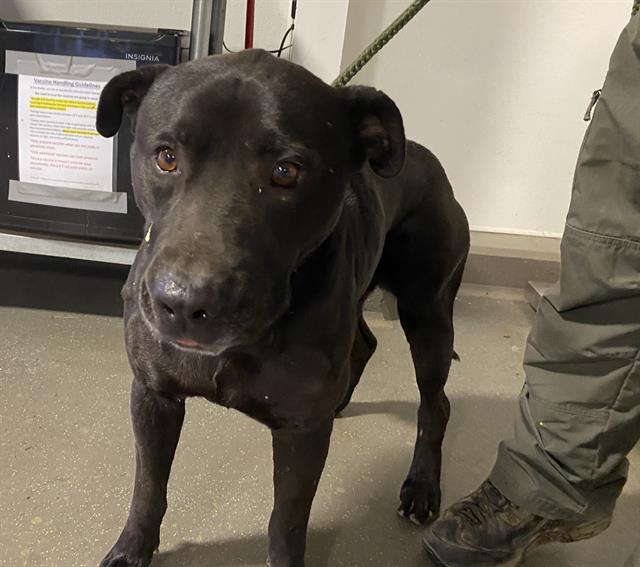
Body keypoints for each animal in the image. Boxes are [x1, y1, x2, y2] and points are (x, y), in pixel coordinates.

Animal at [96, 49, 469, 567]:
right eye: (166, 157)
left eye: (286, 171)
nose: (186, 303)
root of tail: (429, 161)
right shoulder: (154, 394)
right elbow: (149, 486)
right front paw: (132, 549)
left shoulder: (299, 436)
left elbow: (287, 523)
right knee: (365, 344)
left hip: (428, 317)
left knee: (435, 405)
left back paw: (422, 486)